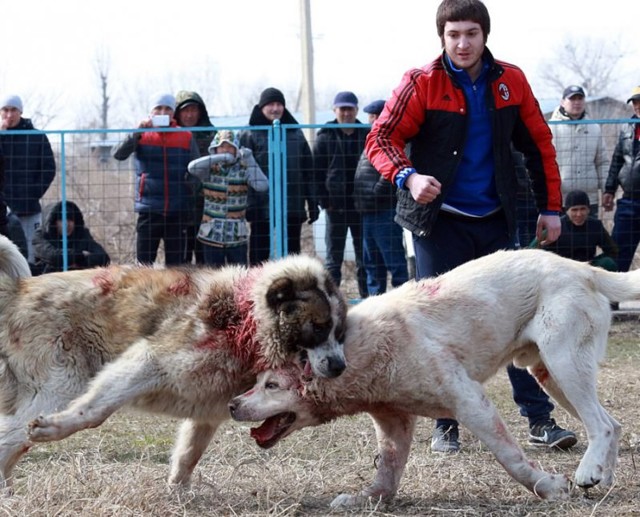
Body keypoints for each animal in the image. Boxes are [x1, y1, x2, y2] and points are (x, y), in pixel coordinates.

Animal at [0, 236, 348, 490]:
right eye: (318, 328)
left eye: (340, 332)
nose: (339, 367)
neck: (247, 318)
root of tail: (17, 291)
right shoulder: (149, 361)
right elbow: (94, 412)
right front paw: (55, 428)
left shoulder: (209, 407)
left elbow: (189, 455)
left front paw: (177, 493)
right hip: (60, 385)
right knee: (12, 436)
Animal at [229, 250, 636, 508]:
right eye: (258, 380)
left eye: (272, 386)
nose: (233, 404)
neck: (357, 352)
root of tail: (583, 268)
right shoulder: (393, 423)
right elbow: (387, 473)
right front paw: (364, 499)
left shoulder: (470, 401)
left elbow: (510, 458)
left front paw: (549, 488)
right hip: (550, 374)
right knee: (612, 424)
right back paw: (603, 476)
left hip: (564, 362)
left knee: (600, 424)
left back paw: (587, 472)